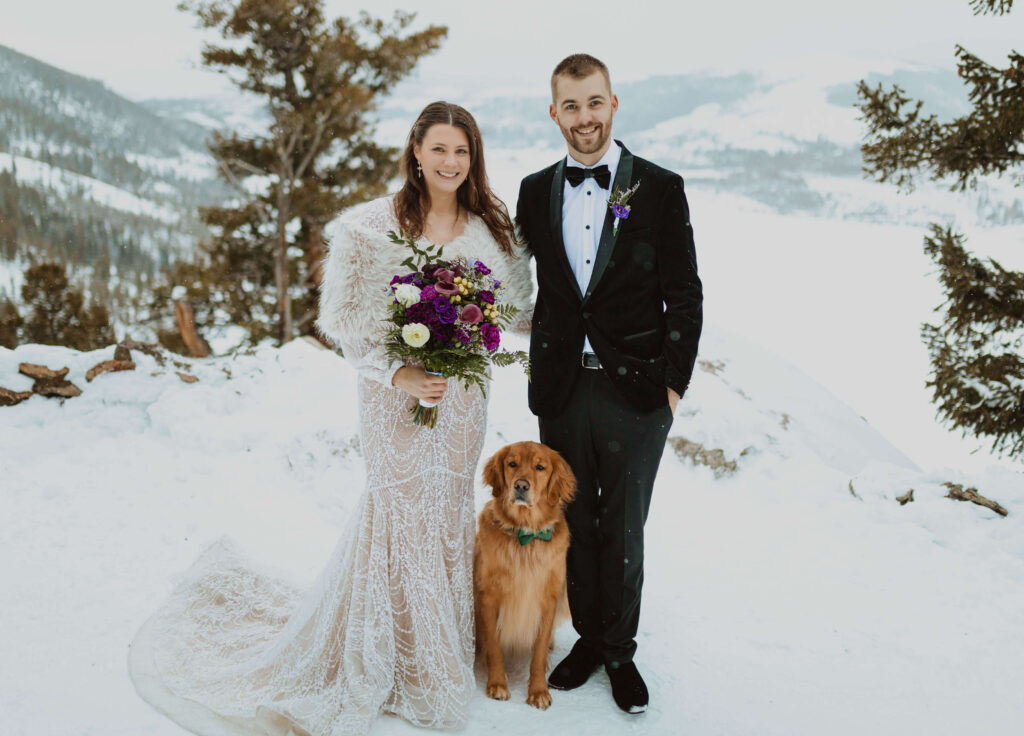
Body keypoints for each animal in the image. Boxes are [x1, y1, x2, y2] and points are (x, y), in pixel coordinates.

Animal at [471, 440, 577, 712]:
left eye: (540, 467)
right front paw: (497, 684)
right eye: (512, 463)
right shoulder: (488, 597)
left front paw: (538, 691)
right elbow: (494, 647)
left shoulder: (548, 599)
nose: (521, 485)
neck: (524, 535)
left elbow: (538, 653)